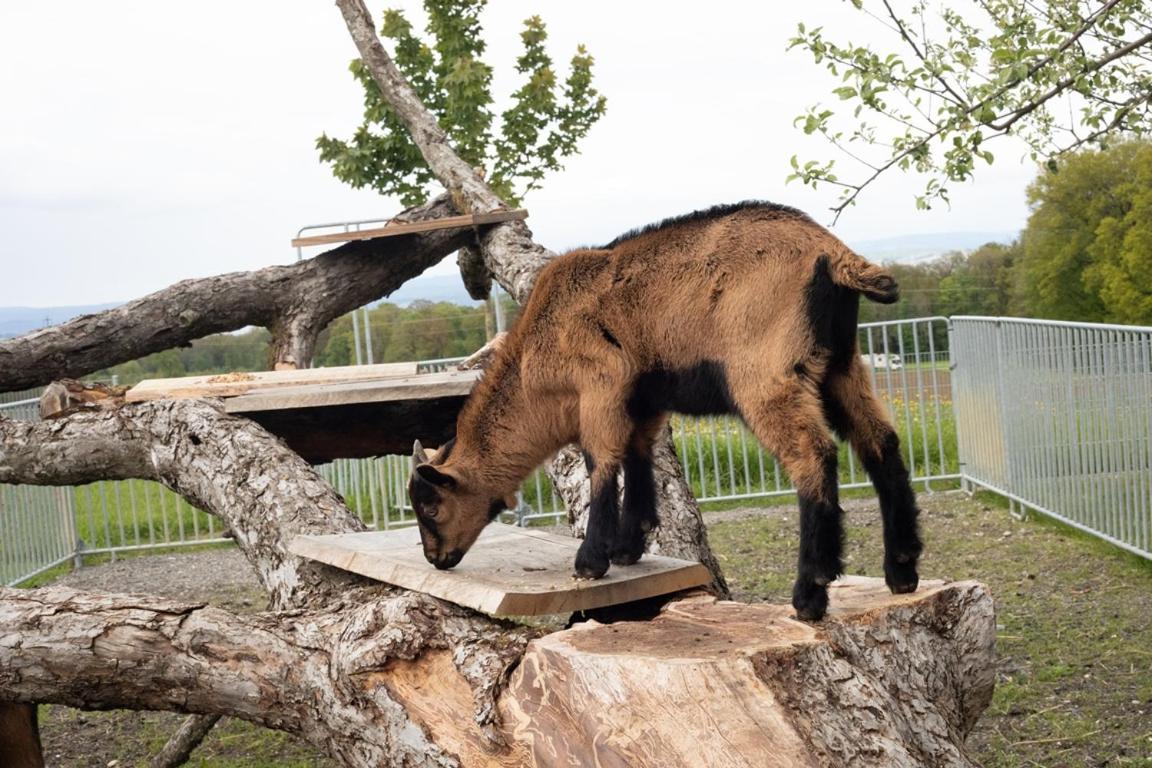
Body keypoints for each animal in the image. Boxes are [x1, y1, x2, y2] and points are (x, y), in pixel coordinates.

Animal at [410, 201, 921, 621]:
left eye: (431, 507)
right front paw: (628, 547)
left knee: (813, 455)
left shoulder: (601, 383)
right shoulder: (643, 399)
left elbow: (601, 461)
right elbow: (638, 456)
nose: (436, 559)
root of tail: (833, 254)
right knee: (881, 442)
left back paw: (810, 594)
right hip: (840, 364)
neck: (535, 360)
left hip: (766, 372)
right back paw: (902, 570)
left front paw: (592, 561)